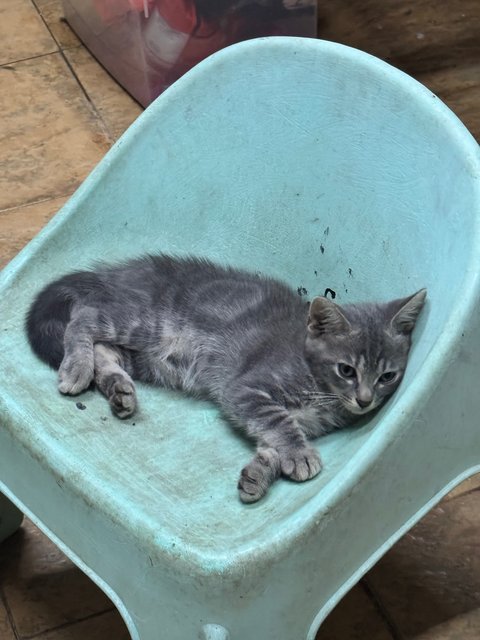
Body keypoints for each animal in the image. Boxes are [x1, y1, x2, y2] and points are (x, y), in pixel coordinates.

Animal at [25, 256, 428, 504]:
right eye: (346, 370)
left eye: (387, 376)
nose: (365, 400)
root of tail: (118, 273)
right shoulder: (245, 390)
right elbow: (278, 422)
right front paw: (299, 456)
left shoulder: (294, 418)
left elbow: (272, 440)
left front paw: (259, 474)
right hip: (145, 324)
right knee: (85, 318)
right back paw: (76, 368)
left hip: (146, 357)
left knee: (106, 351)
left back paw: (118, 390)